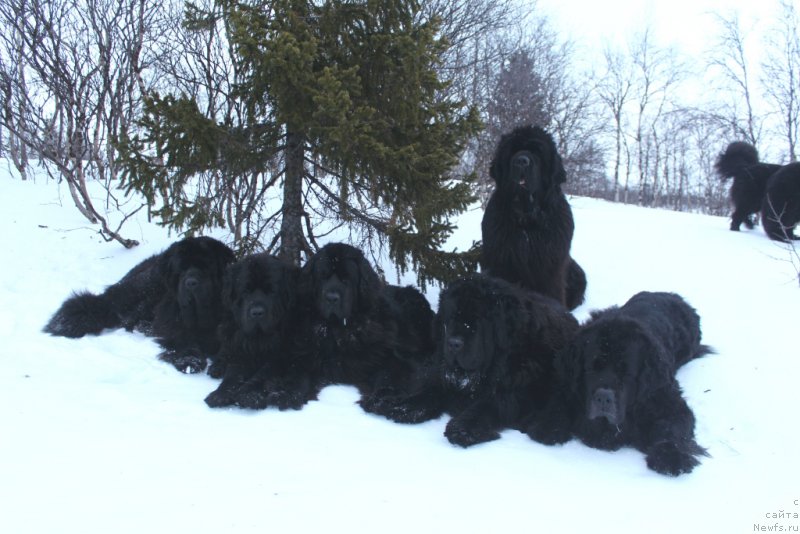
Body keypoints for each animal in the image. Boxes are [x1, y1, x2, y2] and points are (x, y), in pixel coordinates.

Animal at [43, 237, 234, 374]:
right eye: (182, 268)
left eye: (206, 267)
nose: (191, 283)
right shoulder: (174, 326)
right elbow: (183, 341)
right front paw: (189, 360)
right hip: (146, 288)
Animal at [205, 253, 320, 412]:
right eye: (245, 291)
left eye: (271, 291)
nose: (257, 312)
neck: (261, 340)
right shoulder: (241, 348)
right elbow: (233, 375)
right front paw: (221, 394)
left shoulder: (282, 357)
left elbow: (264, 374)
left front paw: (250, 394)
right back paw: (217, 367)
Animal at [366, 274, 580, 450]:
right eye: (450, 318)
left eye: (478, 321)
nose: (453, 343)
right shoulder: (444, 376)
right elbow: (429, 391)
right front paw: (402, 406)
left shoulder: (513, 391)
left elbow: (487, 406)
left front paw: (462, 429)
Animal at [482, 124, 588, 312]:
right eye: (512, 151)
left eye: (538, 151)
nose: (521, 161)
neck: (527, 218)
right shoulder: (500, 261)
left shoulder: (550, 267)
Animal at [528, 294, 708, 478]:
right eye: (591, 368)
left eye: (626, 372)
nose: (603, 397)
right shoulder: (567, 384)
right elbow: (558, 404)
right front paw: (548, 427)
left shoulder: (667, 401)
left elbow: (673, 429)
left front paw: (671, 457)